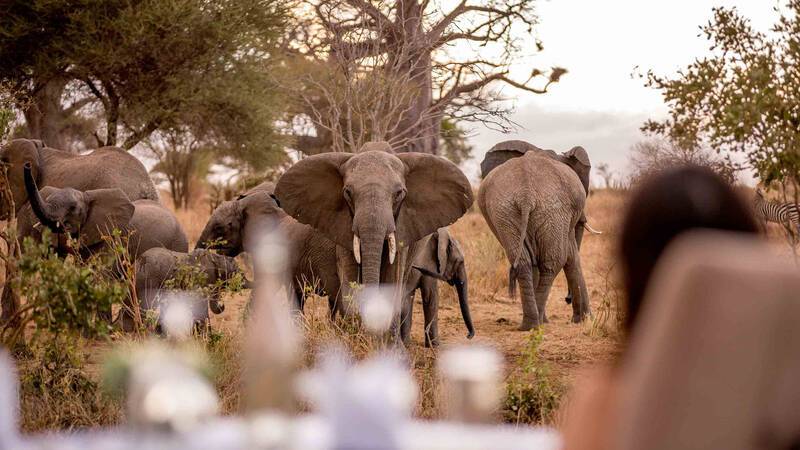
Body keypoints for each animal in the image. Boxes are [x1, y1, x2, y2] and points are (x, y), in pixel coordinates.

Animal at [276, 142, 476, 342]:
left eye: (399, 193)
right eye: (347, 193)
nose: (468, 336)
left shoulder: (403, 228)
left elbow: (395, 279)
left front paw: (389, 347)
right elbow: (350, 281)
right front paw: (358, 343)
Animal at [478, 148, 592, 330]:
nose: (567, 299)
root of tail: (526, 194)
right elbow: (571, 255)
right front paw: (583, 320)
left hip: (504, 212)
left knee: (524, 262)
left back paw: (530, 324)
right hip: (553, 210)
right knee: (552, 263)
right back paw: (537, 323)